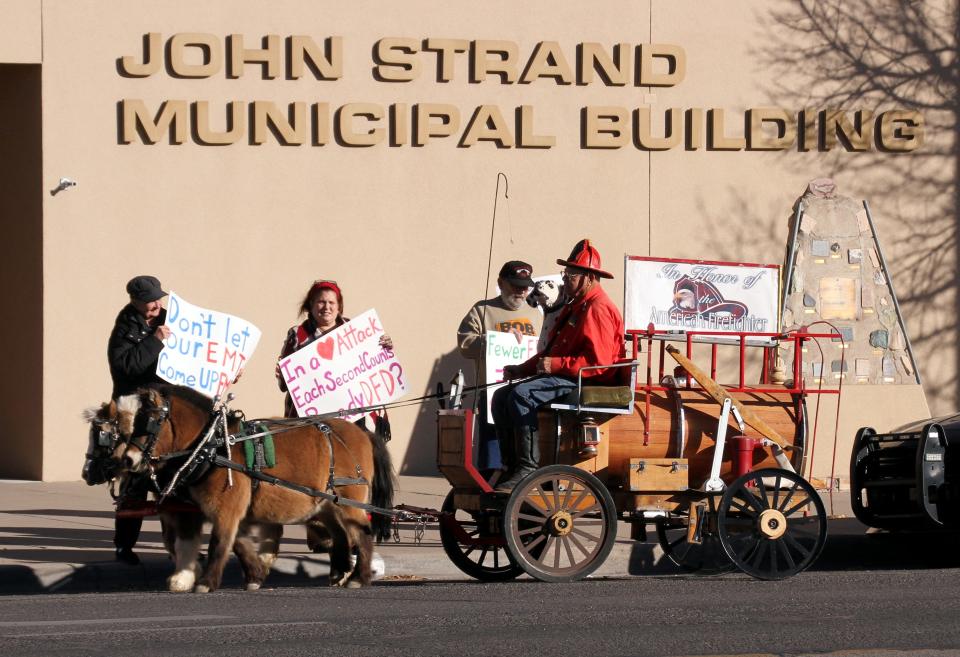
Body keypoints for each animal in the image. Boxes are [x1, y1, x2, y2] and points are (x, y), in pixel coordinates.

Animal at [103, 382, 392, 592]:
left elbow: (219, 543)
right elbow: (239, 543)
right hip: (324, 503)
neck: (214, 445)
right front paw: (255, 575)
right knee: (341, 534)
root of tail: (362, 432)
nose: (127, 460)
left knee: (361, 532)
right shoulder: (227, 510)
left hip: (348, 498)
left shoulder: (226, 508)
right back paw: (339, 571)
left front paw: (206, 582)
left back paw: (358, 577)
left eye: (150, 422)